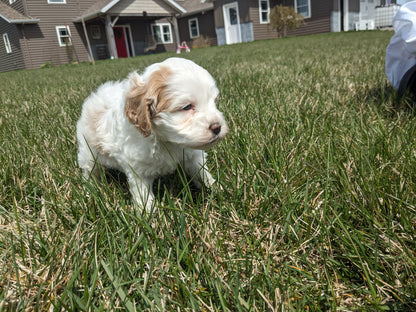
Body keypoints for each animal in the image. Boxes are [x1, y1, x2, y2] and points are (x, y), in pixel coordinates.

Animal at [76, 57, 229, 212]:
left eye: (214, 101)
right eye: (186, 107)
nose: (217, 127)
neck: (167, 140)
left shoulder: (193, 156)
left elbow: (202, 172)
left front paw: (215, 188)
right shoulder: (138, 168)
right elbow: (142, 193)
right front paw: (148, 213)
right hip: (88, 152)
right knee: (90, 172)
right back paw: (90, 191)